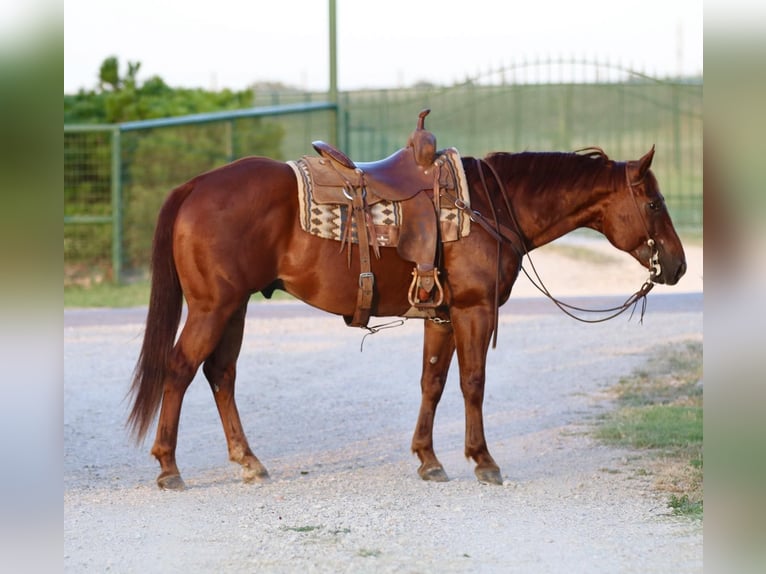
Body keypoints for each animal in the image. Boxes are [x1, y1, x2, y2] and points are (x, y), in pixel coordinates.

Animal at [127, 144, 688, 490]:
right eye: (655, 203)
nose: (679, 264)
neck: (489, 206)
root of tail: (195, 187)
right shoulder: (474, 311)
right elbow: (472, 382)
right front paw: (483, 461)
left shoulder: (440, 316)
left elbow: (432, 383)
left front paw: (429, 459)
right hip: (213, 307)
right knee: (180, 370)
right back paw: (169, 467)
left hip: (236, 307)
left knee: (220, 374)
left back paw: (248, 462)